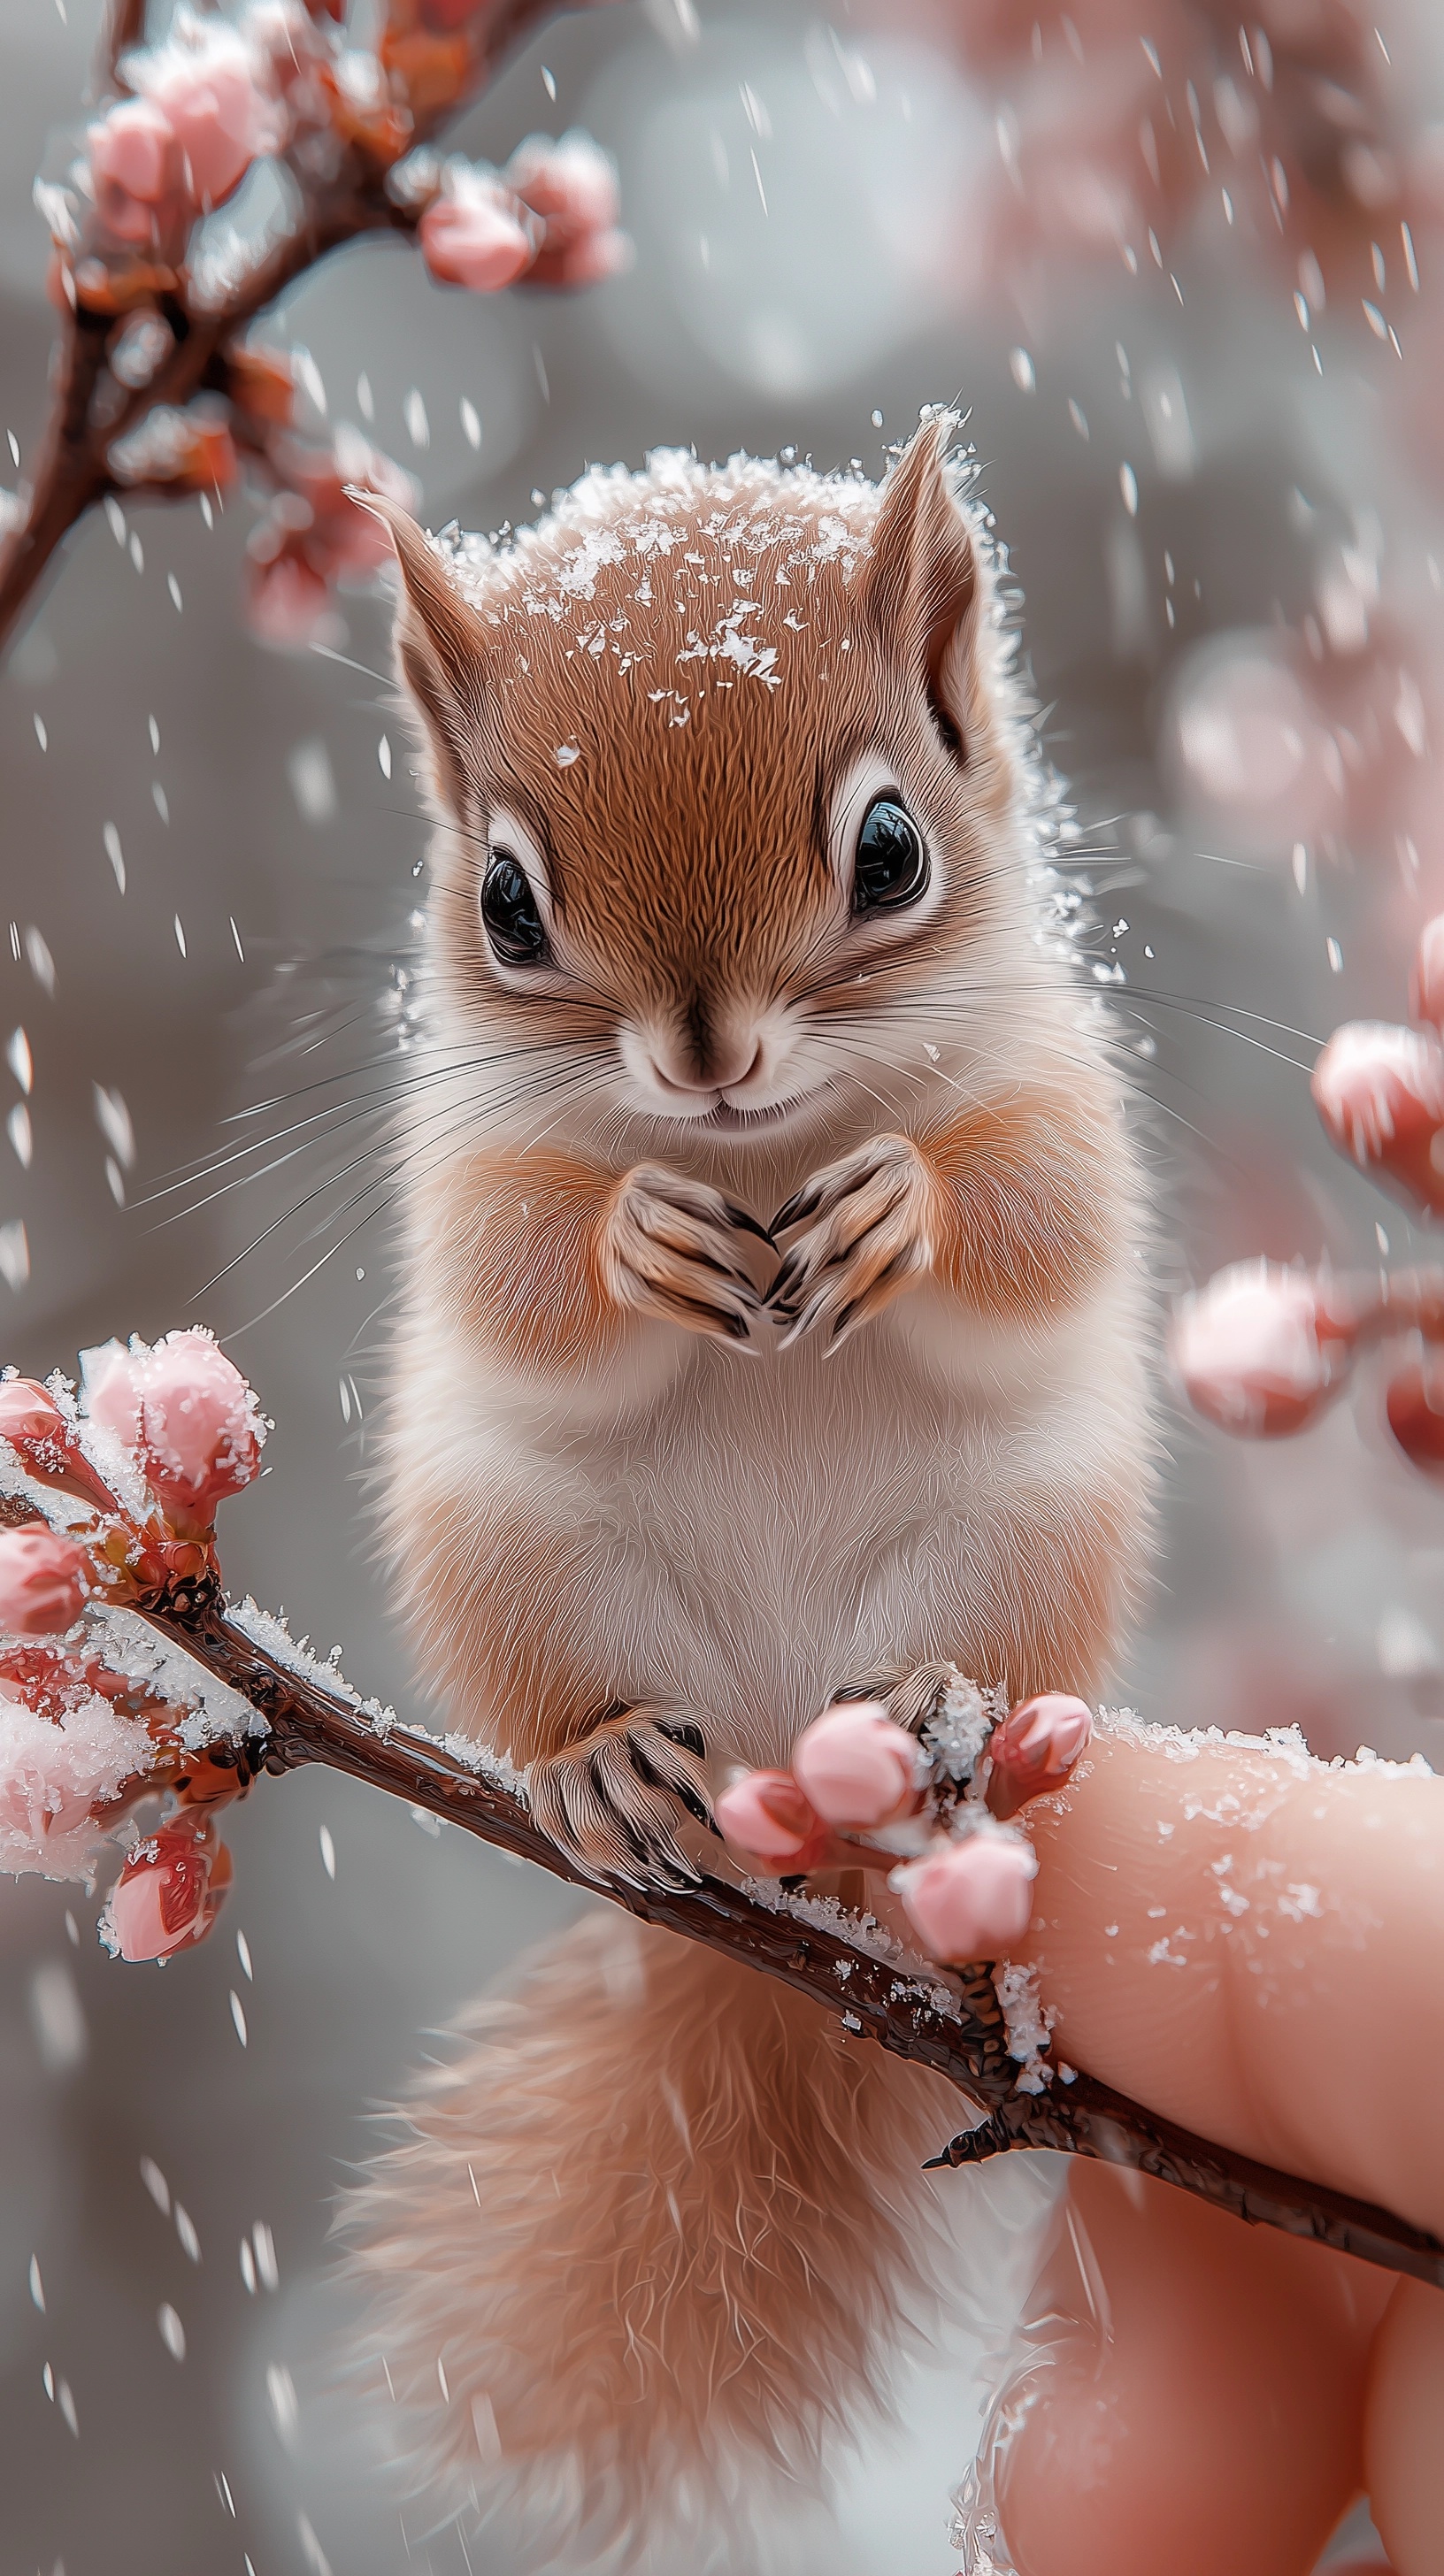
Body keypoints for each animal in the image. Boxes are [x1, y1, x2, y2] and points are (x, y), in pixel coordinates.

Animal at [350, 411, 1149, 2545]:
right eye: (505, 904)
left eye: (891, 851)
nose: (706, 1060)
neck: (758, 1151)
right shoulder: (460, 1159)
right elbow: (518, 1268)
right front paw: (637, 1236)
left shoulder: (1059, 1085)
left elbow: (1037, 1216)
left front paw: (901, 1210)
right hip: (513, 1550)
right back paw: (604, 1760)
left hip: (1024, 1540)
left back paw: (933, 1705)